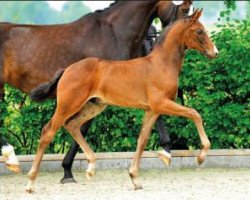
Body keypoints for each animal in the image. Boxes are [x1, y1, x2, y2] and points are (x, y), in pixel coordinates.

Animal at [27, 9, 218, 192]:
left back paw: (91, 167)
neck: (161, 64)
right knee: (48, 132)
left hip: (94, 106)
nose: (215, 52)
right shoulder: (161, 104)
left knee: (72, 125)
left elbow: (142, 140)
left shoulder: (152, 110)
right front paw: (201, 157)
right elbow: (194, 113)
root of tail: (67, 70)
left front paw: (135, 178)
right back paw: (30, 183)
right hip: (67, 105)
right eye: (199, 31)